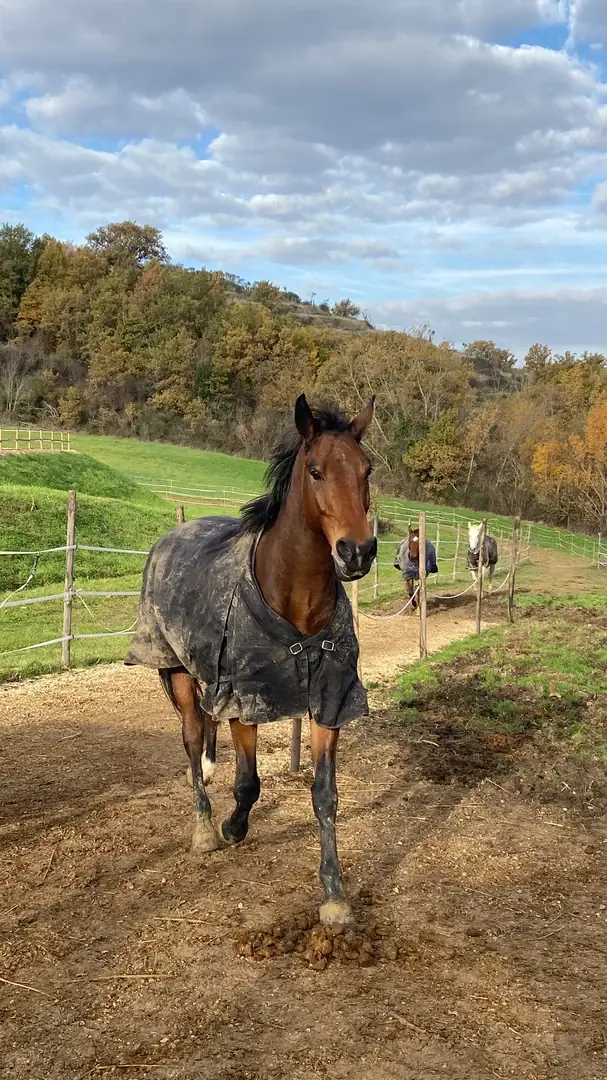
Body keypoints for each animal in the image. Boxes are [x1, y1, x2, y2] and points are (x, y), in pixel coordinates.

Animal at [125, 394, 377, 927]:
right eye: (317, 471)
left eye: (366, 470)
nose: (357, 552)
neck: (295, 606)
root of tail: (171, 536)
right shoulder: (244, 700)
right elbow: (249, 783)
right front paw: (233, 828)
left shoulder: (331, 702)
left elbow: (325, 797)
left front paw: (334, 895)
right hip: (175, 669)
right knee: (192, 735)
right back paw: (203, 826)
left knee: (204, 730)